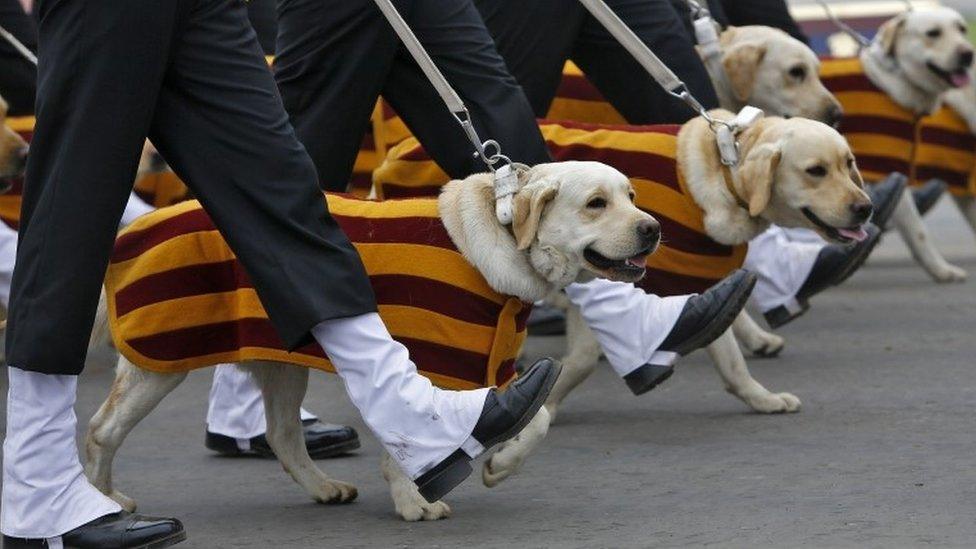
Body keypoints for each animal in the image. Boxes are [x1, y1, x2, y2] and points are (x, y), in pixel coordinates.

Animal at [86, 159, 664, 524]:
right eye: (596, 203)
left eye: (632, 196)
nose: (653, 229)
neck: (499, 240)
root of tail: (132, 230)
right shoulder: (426, 364)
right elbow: (408, 436)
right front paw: (415, 502)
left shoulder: (495, 368)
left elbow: (538, 417)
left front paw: (500, 466)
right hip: (158, 362)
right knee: (100, 431)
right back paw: (103, 500)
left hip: (282, 365)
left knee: (282, 434)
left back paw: (323, 487)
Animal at [484, 111, 872, 484]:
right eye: (816, 171)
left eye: (849, 163)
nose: (866, 208)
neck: (725, 173)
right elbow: (583, 358)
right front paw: (530, 415)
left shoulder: (695, 286)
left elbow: (729, 357)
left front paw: (761, 398)